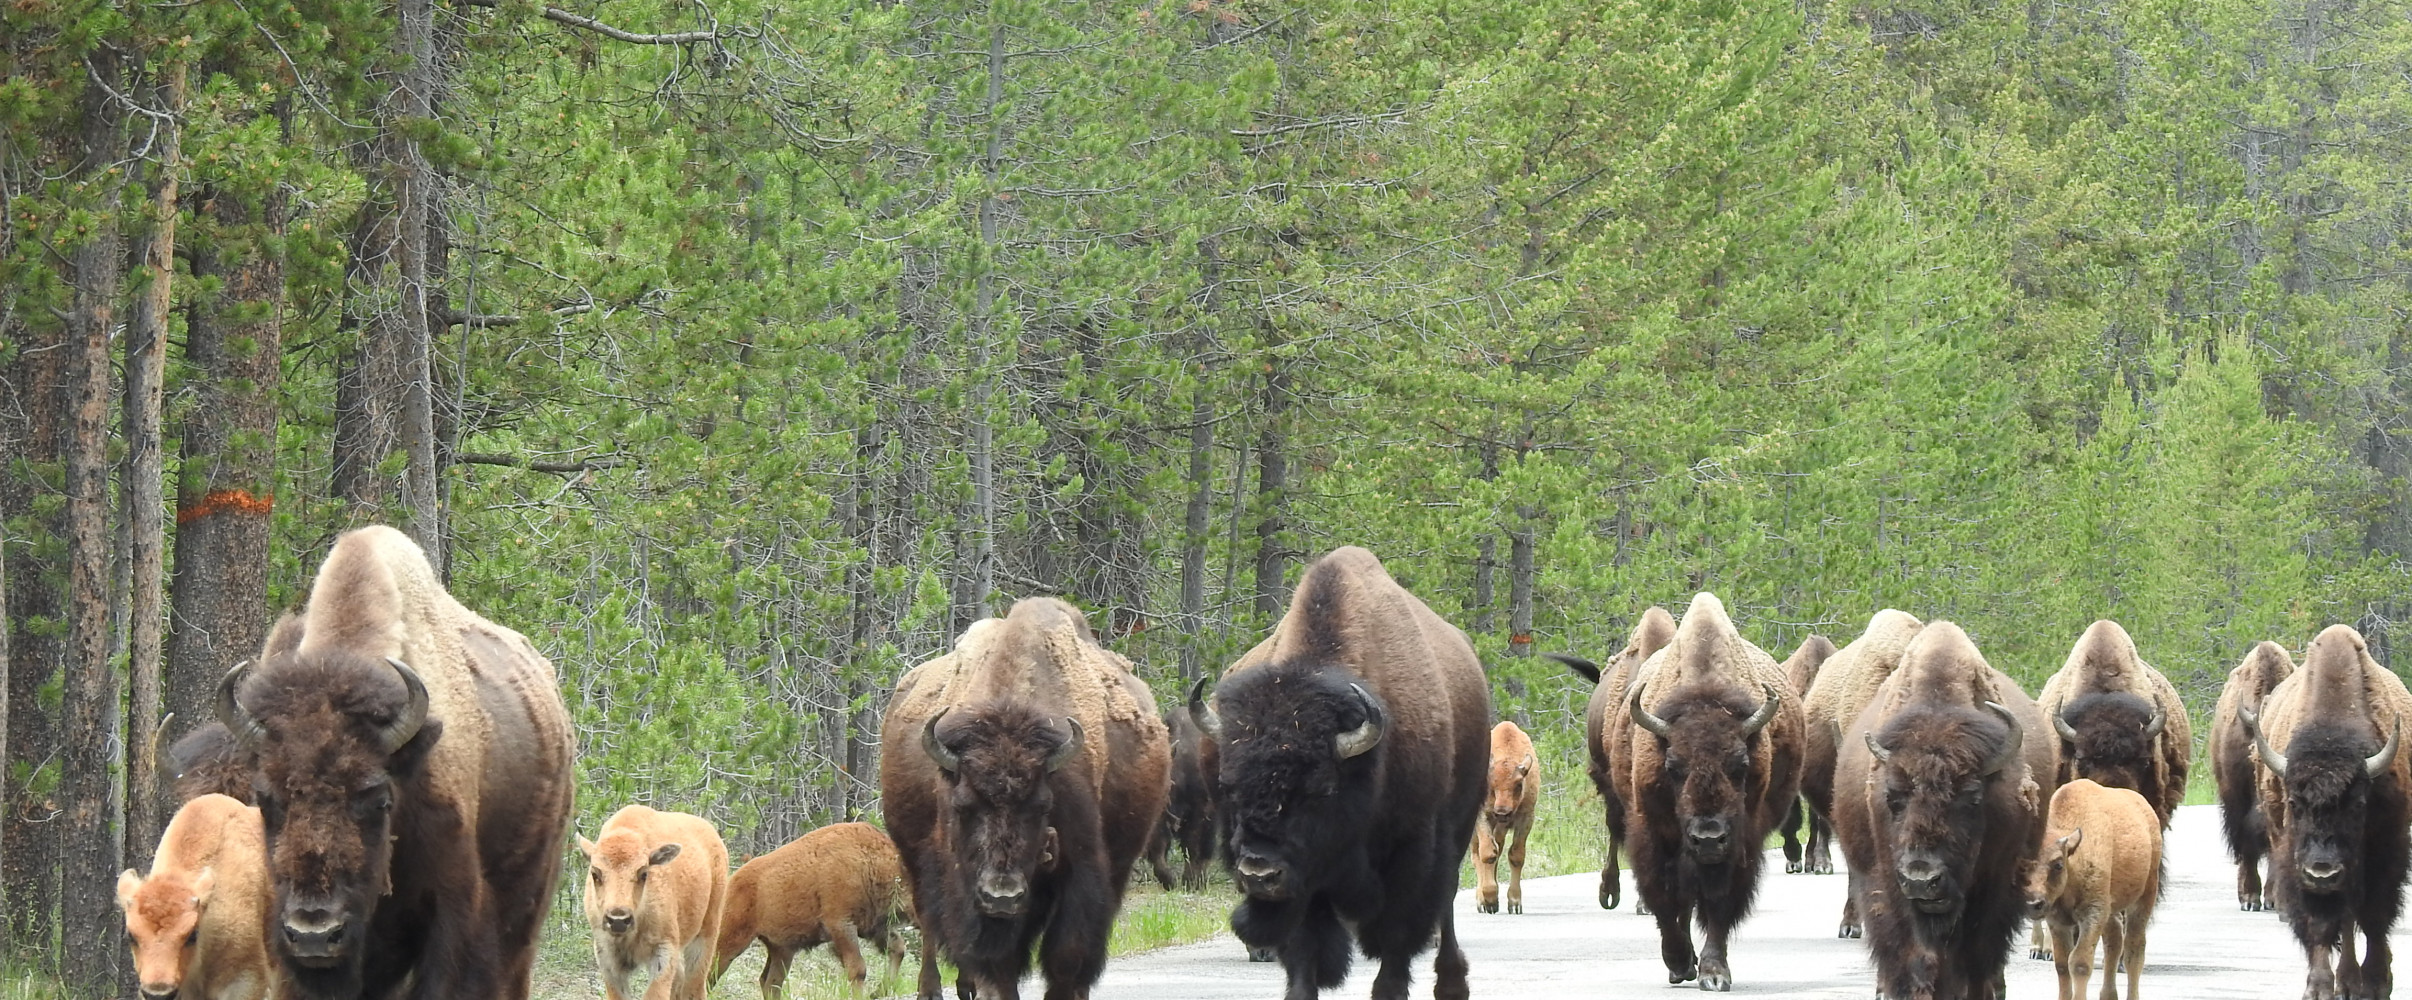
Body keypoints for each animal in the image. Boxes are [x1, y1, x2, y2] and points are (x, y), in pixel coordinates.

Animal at [880, 597, 1171, 1000]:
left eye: (1042, 805)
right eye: (963, 805)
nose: (1001, 896)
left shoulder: (1080, 872)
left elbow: (1067, 952)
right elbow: (995, 958)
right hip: (913, 860)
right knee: (928, 926)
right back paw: (933, 989)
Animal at [1196, 547, 1489, 1000]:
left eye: (1320, 790)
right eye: (1228, 787)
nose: (1259, 874)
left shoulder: (1413, 850)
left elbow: (1397, 936)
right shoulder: (1305, 877)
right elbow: (1305, 946)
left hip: (1458, 829)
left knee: (1445, 906)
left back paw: (1452, 984)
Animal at [1835, 621, 2056, 1000]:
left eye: (1972, 798)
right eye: (1892, 797)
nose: (1922, 879)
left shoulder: (1995, 886)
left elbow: (1973, 955)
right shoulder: (1886, 889)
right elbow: (1911, 956)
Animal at [2250, 624, 2411, 1000]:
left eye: (2358, 804)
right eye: (2294, 803)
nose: (2322, 871)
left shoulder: (2386, 852)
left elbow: (2374, 915)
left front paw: (2376, 983)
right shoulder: (2297, 863)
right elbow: (2323, 924)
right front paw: (2319, 987)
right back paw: (2345, 982)